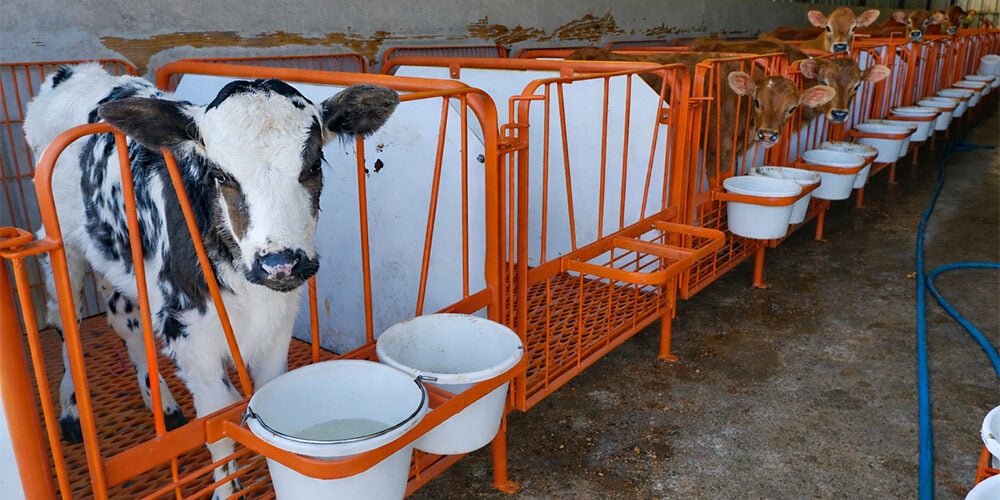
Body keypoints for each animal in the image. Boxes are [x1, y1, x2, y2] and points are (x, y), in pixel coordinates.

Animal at [23, 63, 399, 498]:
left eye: (313, 166)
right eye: (220, 175)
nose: (280, 264)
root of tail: (74, 71)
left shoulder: (277, 327)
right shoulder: (190, 334)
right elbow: (217, 427)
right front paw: (226, 488)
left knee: (124, 320)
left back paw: (161, 402)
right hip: (60, 244)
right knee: (65, 323)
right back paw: (70, 411)